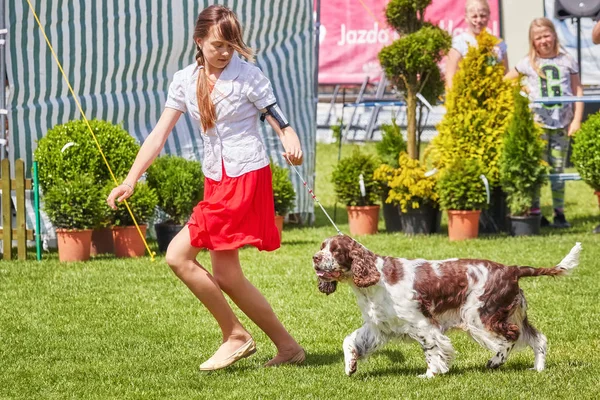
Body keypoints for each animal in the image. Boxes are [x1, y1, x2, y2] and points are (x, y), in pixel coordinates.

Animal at [314, 234, 580, 378]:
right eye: (321, 247)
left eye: (335, 250)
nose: (315, 258)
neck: (376, 279)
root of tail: (511, 269)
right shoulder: (378, 325)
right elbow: (350, 341)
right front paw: (350, 365)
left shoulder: (422, 323)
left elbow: (431, 349)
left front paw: (431, 374)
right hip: (512, 313)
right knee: (538, 339)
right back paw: (538, 368)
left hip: (480, 317)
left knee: (510, 338)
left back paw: (495, 361)